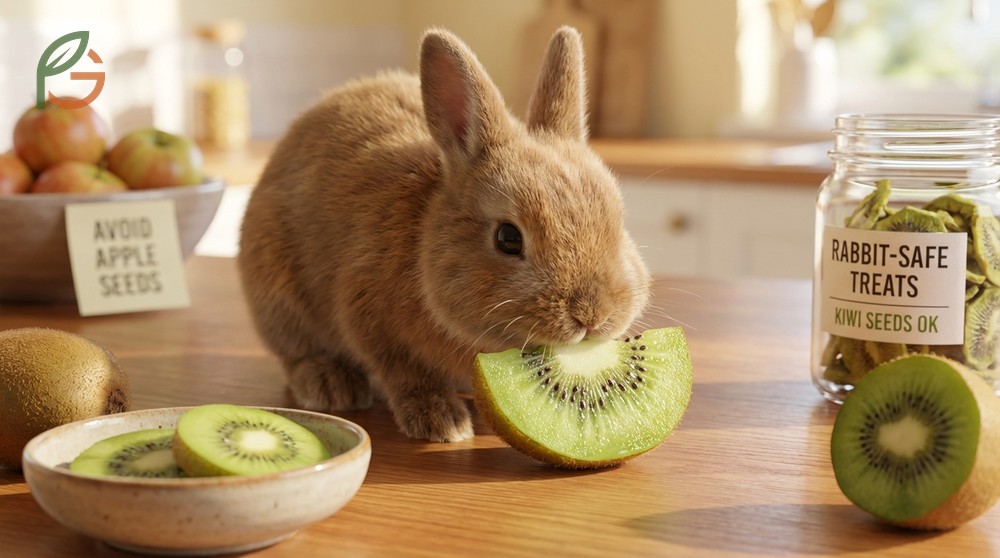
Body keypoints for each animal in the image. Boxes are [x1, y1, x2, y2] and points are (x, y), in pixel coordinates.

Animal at [237, 26, 652, 443]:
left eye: (618, 222)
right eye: (508, 238)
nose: (592, 317)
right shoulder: (368, 318)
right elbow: (406, 374)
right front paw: (442, 421)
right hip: (279, 298)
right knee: (297, 353)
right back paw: (330, 384)